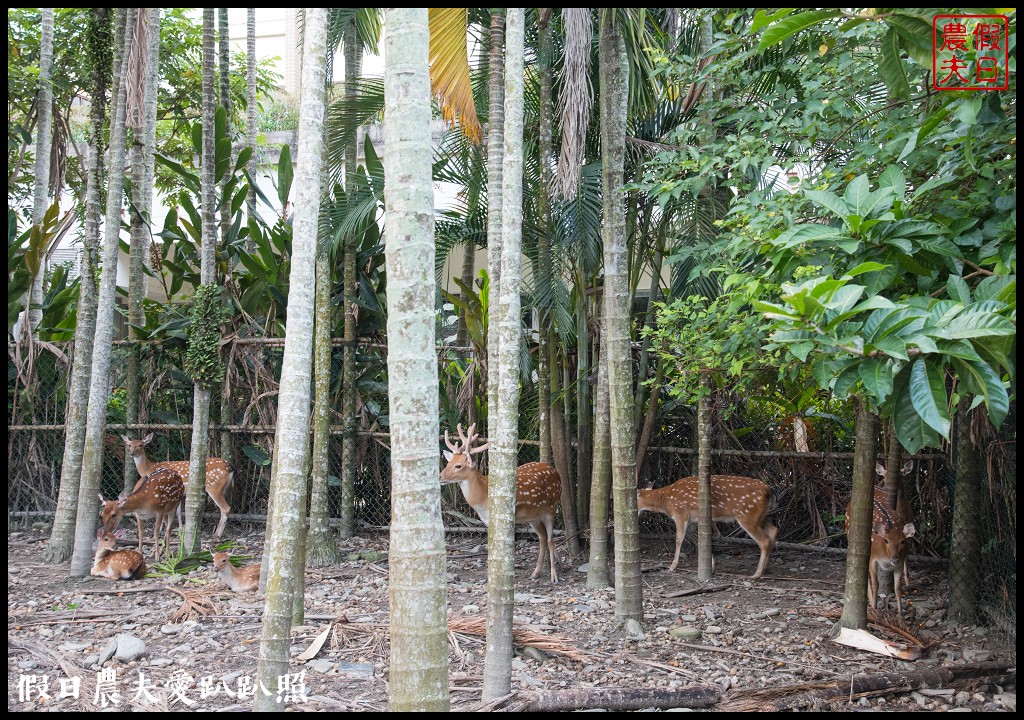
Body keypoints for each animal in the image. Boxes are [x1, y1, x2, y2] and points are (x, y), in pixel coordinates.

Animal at [440, 421, 565, 585]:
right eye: (449, 463)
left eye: (458, 466)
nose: (440, 476)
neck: (483, 497)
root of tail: (557, 473)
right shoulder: (487, 521)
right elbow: (491, 546)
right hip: (533, 517)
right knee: (542, 538)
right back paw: (535, 573)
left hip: (552, 507)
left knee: (550, 539)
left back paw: (554, 576)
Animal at [638, 475, 774, 581]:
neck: (664, 498)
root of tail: (767, 490)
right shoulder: (698, 519)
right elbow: (702, 540)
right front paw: (712, 567)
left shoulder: (680, 513)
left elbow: (679, 539)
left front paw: (672, 567)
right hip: (760, 516)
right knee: (773, 530)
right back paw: (766, 569)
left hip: (747, 515)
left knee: (764, 540)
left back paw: (756, 574)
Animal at [847, 487, 913, 618]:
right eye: (886, 540)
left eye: (903, 541)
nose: (894, 559)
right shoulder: (873, 559)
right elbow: (875, 584)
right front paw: (874, 607)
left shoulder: (900, 562)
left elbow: (898, 588)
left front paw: (900, 615)